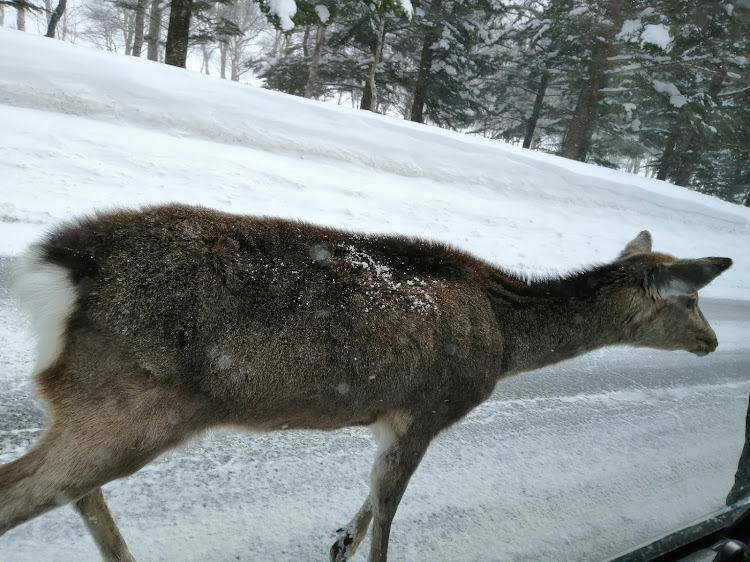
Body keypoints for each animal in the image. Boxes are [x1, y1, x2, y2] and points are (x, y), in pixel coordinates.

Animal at [0, 202, 728, 560]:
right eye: (691, 299)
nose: (714, 341)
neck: (506, 339)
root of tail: (53, 270)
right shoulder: (432, 408)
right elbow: (390, 506)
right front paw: (354, 545)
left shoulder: (390, 416)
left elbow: (372, 499)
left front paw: (338, 541)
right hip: (135, 404)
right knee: (35, 487)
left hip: (88, 403)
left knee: (74, 491)